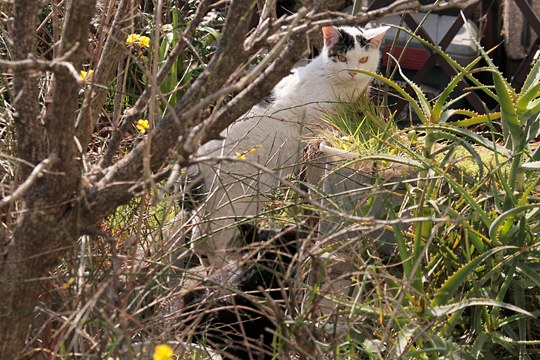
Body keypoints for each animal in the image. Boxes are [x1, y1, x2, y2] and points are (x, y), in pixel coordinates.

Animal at [187, 25, 388, 266]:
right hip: (234, 200)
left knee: (198, 234)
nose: (352, 72)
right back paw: (223, 269)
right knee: (209, 239)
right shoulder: (312, 128)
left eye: (363, 59)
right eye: (341, 58)